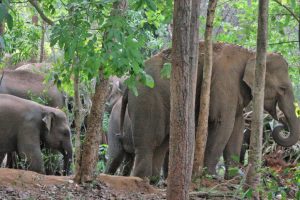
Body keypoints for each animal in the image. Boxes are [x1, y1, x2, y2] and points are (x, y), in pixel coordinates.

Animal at [120, 41, 300, 178]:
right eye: (283, 88)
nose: (281, 124)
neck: (251, 54)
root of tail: (128, 85)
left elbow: (237, 127)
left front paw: (234, 178)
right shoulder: (223, 82)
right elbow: (223, 124)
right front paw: (212, 176)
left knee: (161, 144)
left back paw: (153, 181)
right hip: (146, 101)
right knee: (148, 143)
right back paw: (141, 180)